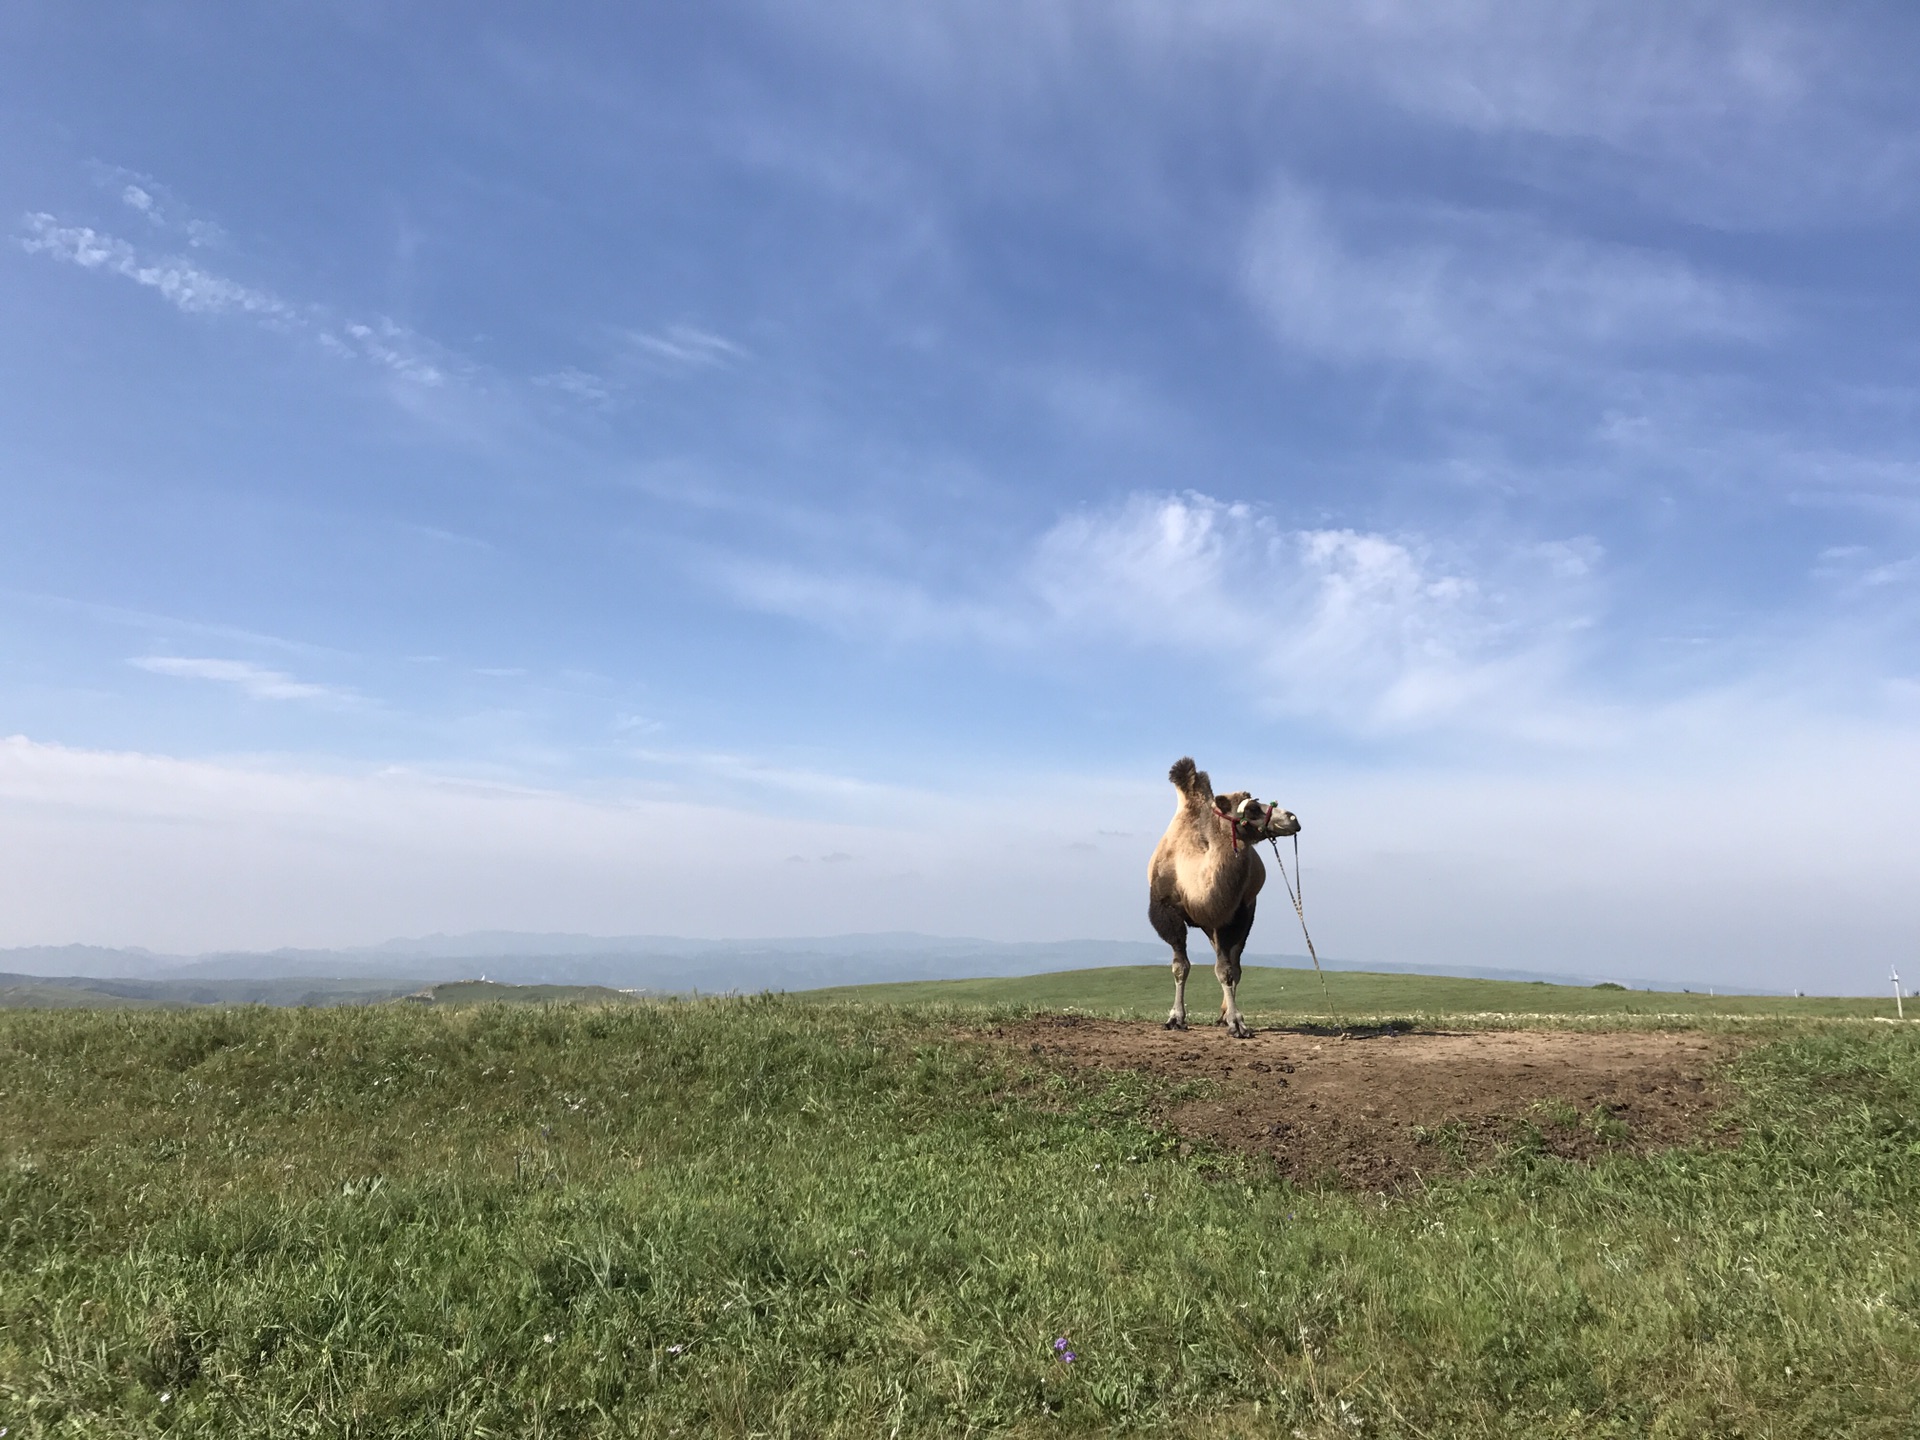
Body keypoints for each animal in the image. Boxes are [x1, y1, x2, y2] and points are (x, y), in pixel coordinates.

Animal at [1144, 756, 1297, 1036]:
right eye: (1252, 809)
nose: (1293, 818)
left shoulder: (1233, 913)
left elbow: (1226, 969)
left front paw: (1237, 1023)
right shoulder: (1166, 909)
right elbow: (1180, 966)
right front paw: (1175, 1018)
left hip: (1245, 912)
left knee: (1233, 962)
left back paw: (1225, 1015)